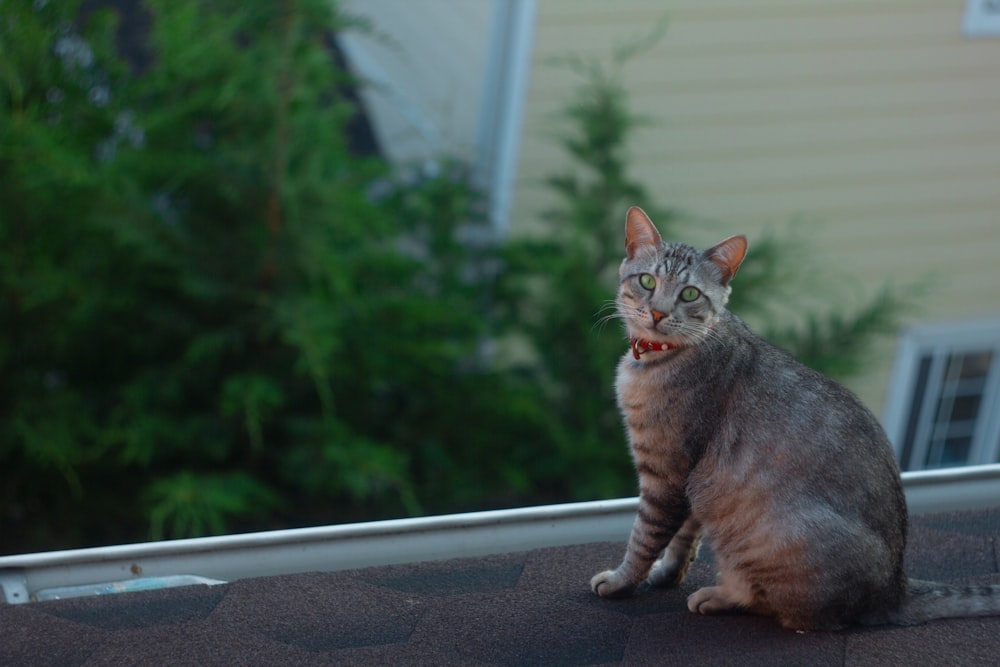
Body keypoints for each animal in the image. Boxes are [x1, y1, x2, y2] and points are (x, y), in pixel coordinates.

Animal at [588, 205, 1000, 632]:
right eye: (647, 281)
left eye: (689, 294)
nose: (657, 312)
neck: (659, 357)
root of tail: (894, 588)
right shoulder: (691, 480)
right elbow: (685, 537)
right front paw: (668, 574)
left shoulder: (668, 474)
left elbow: (644, 539)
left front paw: (620, 581)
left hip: (771, 537)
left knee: (781, 607)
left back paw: (720, 596)